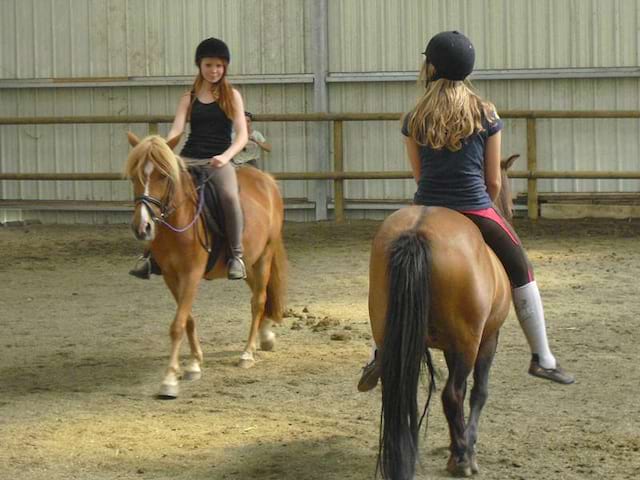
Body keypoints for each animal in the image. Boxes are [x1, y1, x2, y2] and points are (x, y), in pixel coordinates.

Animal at [123, 133, 288, 400]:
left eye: (163, 175)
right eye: (134, 176)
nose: (143, 227)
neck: (179, 221)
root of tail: (267, 181)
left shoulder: (191, 273)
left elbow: (177, 324)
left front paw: (169, 380)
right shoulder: (171, 276)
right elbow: (187, 318)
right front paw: (194, 364)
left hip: (265, 254)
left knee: (258, 300)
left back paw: (247, 353)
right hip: (248, 262)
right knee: (258, 293)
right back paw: (264, 337)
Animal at [370, 154, 520, 476]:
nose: (512, 210)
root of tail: (417, 231)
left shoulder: (452, 347)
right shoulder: (487, 339)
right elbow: (478, 391)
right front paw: (464, 449)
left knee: (402, 391)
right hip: (468, 342)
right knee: (452, 394)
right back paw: (464, 459)